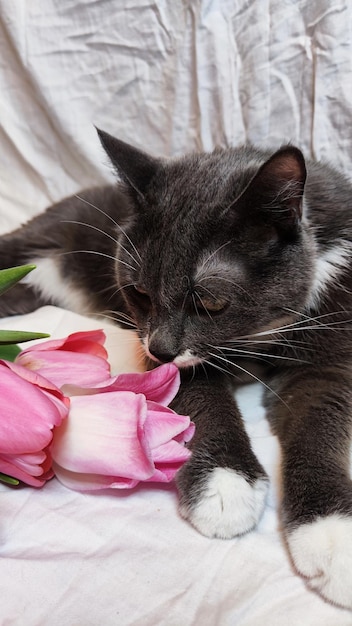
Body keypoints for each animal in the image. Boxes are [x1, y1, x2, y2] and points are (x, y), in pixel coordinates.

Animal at [0, 129, 352, 608]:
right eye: (139, 293)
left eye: (211, 302)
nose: (162, 347)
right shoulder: (152, 345)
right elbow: (200, 394)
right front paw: (224, 484)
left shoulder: (331, 352)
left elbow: (319, 420)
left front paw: (332, 535)